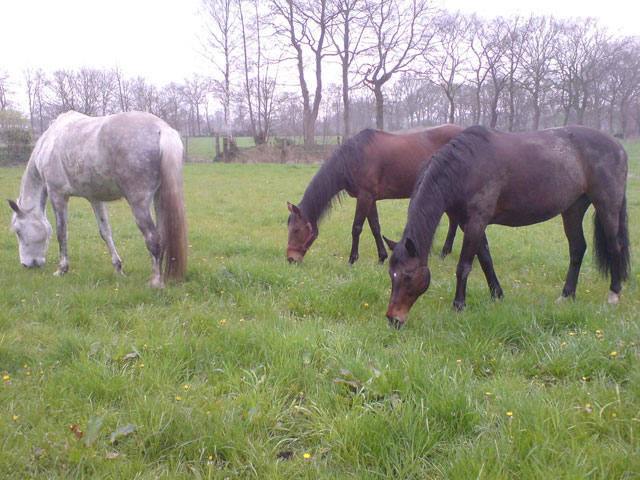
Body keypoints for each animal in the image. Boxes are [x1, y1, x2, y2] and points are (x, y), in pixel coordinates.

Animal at [8, 110, 188, 286]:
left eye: (18, 231)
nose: (27, 264)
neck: (48, 144)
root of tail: (160, 128)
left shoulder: (57, 195)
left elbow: (61, 232)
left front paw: (62, 269)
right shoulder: (95, 199)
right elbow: (105, 232)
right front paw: (118, 268)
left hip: (139, 203)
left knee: (153, 238)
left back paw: (156, 283)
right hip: (159, 199)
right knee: (162, 236)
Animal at [288, 124, 462, 264]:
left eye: (296, 230)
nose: (291, 259)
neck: (354, 158)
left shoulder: (364, 197)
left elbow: (357, 228)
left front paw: (352, 259)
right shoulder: (370, 199)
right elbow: (375, 227)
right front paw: (382, 257)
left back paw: (445, 252)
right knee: (454, 221)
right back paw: (445, 253)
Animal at [384, 124, 632, 326]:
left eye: (408, 276)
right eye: (391, 275)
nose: (393, 319)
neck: (467, 168)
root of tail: (618, 146)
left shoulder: (476, 222)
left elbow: (464, 266)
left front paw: (458, 306)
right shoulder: (469, 224)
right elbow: (486, 260)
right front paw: (497, 295)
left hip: (607, 207)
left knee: (614, 247)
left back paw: (614, 294)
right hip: (573, 210)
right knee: (578, 249)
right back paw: (567, 295)